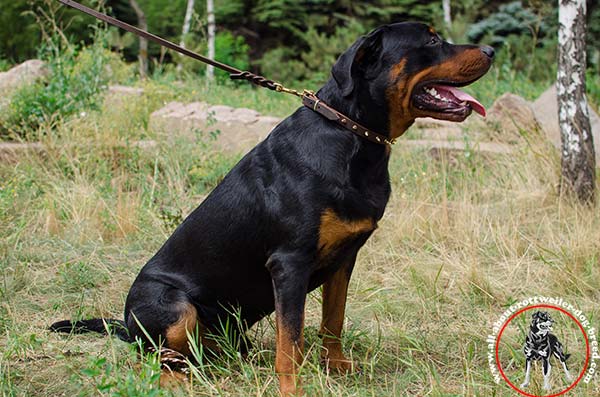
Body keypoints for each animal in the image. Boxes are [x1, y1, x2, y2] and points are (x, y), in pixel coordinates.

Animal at [50, 22, 492, 396]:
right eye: (431, 40)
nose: (490, 49)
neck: (350, 134)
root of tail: (124, 324)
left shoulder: (344, 259)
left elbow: (333, 322)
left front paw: (337, 369)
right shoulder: (289, 263)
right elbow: (290, 340)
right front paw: (293, 388)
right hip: (172, 304)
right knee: (160, 355)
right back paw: (177, 379)